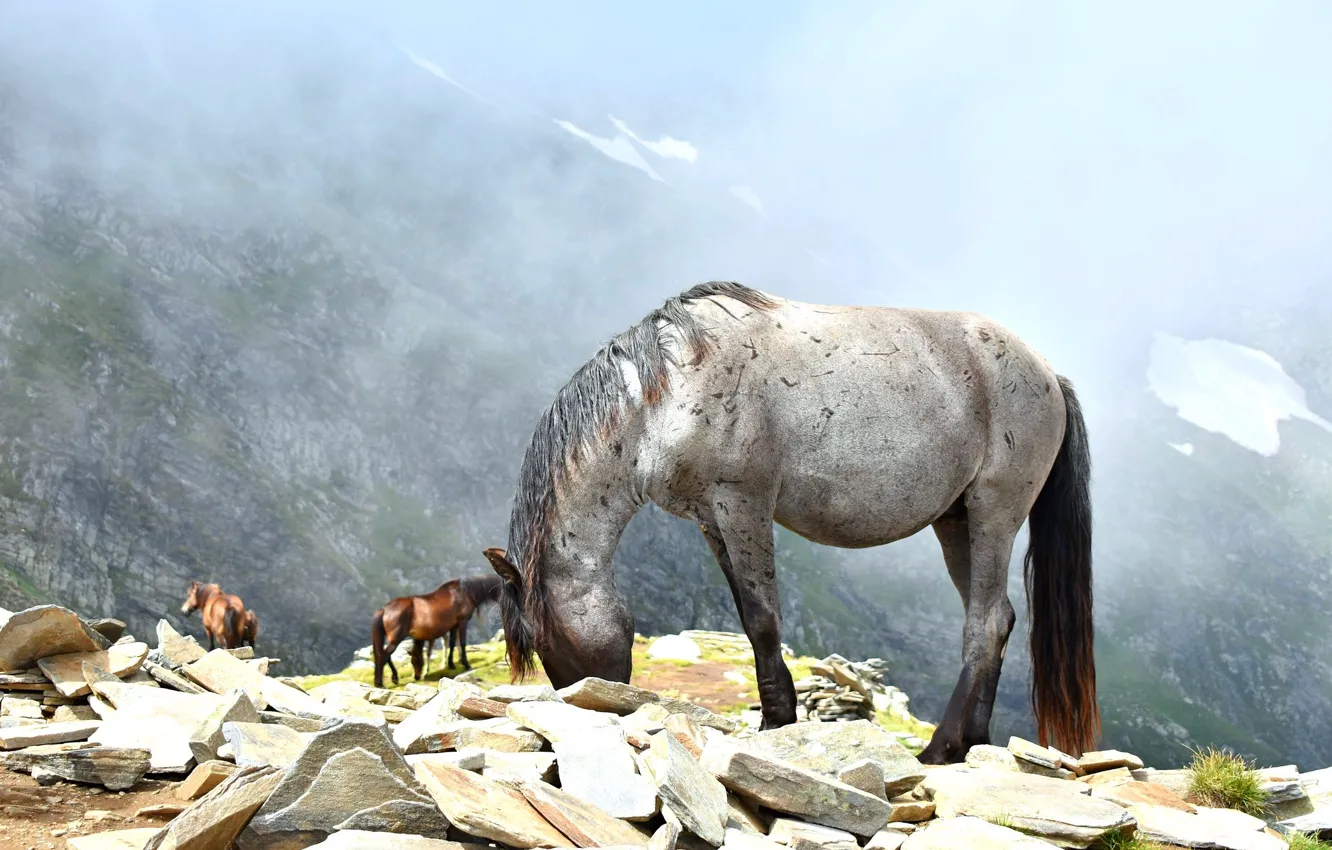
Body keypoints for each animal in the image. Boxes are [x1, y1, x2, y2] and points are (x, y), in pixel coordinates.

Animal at [370, 573, 503, 688]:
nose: (417, 677)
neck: (465, 593)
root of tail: (384, 609)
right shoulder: (462, 622)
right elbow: (462, 643)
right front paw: (466, 664)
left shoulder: (454, 626)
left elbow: (452, 644)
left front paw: (451, 664)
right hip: (396, 638)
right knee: (383, 656)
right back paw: (381, 683)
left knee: (385, 655)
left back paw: (393, 678)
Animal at [483, 281, 1097, 764]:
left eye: (541, 638)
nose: (587, 710)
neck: (669, 395)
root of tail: (1048, 374)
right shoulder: (712, 520)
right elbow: (748, 615)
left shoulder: (744, 505)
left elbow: (763, 619)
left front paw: (778, 721)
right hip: (956, 521)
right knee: (999, 618)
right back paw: (973, 740)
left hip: (996, 511)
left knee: (985, 624)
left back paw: (943, 748)